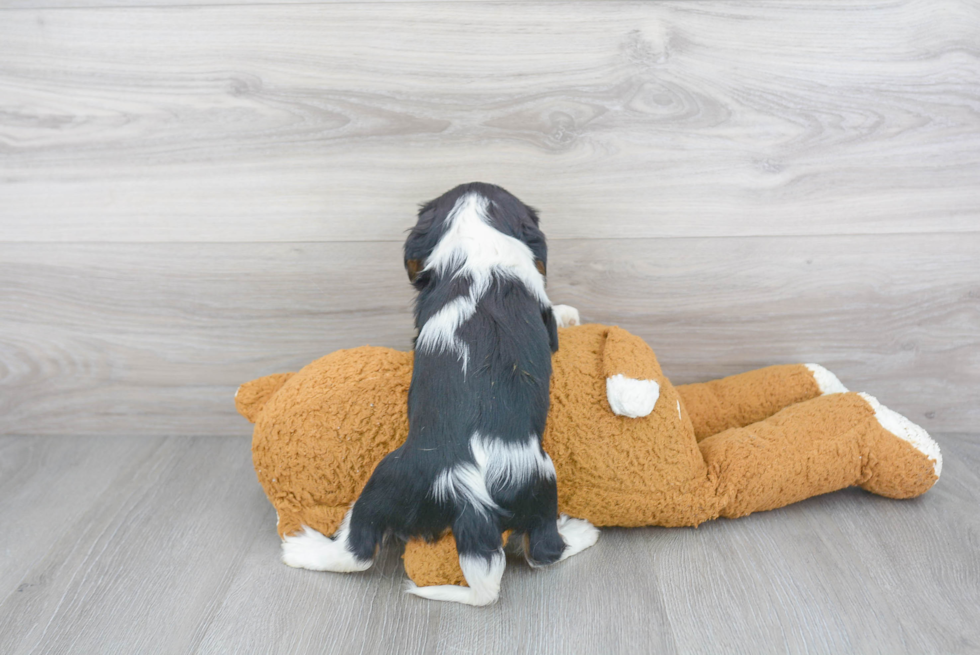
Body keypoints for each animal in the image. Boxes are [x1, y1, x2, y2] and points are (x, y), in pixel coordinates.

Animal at [282, 182, 596, 608]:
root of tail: (472, 497)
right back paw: (581, 532)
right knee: (544, 550)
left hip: (389, 480)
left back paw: (301, 549)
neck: (479, 239)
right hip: (537, 482)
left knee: (357, 550)